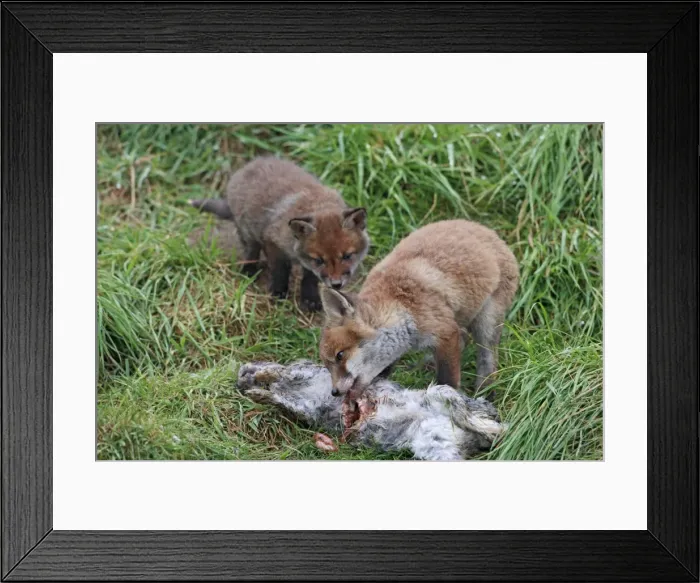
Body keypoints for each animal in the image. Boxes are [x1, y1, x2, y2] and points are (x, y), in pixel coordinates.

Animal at [190, 157, 369, 311]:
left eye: (347, 256)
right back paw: (249, 270)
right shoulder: (272, 242)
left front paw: (310, 298)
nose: (336, 284)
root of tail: (251, 163)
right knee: (251, 250)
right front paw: (278, 292)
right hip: (248, 231)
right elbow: (280, 271)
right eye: (319, 260)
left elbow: (310, 278)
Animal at [319, 219, 519, 399]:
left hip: (487, 323)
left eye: (340, 355)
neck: (400, 306)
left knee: (487, 360)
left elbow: (448, 381)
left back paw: (486, 394)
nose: (334, 392)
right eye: (326, 365)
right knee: (464, 339)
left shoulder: (445, 332)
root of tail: (487, 230)